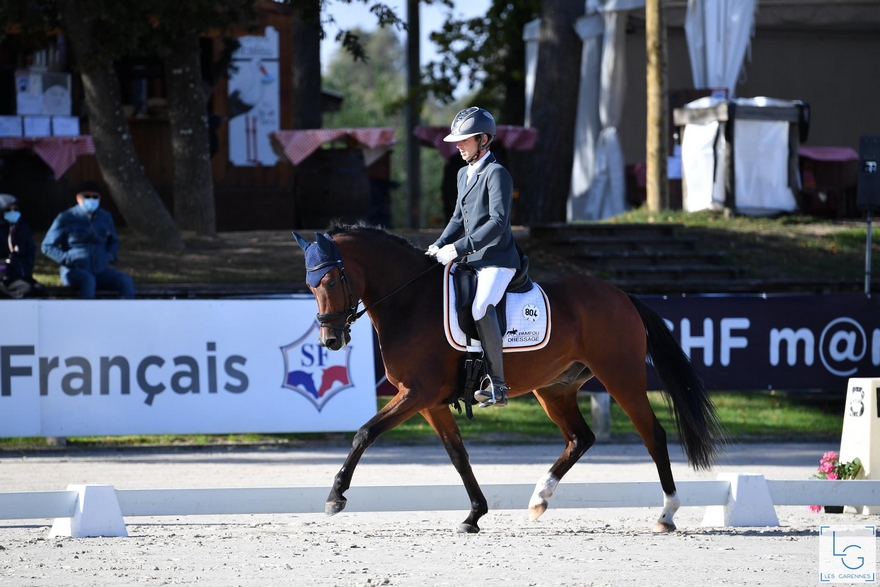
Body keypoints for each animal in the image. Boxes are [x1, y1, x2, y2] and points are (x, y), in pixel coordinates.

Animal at [292, 223, 724, 536]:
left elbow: (364, 433)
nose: (330, 340)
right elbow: (458, 455)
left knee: (653, 434)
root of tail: (620, 295)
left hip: (621, 376)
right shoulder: (428, 402)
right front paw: (474, 515)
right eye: (310, 285)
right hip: (554, 388)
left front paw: (335, 497)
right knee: (580, 438)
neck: (409, 301)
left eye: (331, 281)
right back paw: (539, 499)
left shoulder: (417, 393)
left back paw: (666, 515)